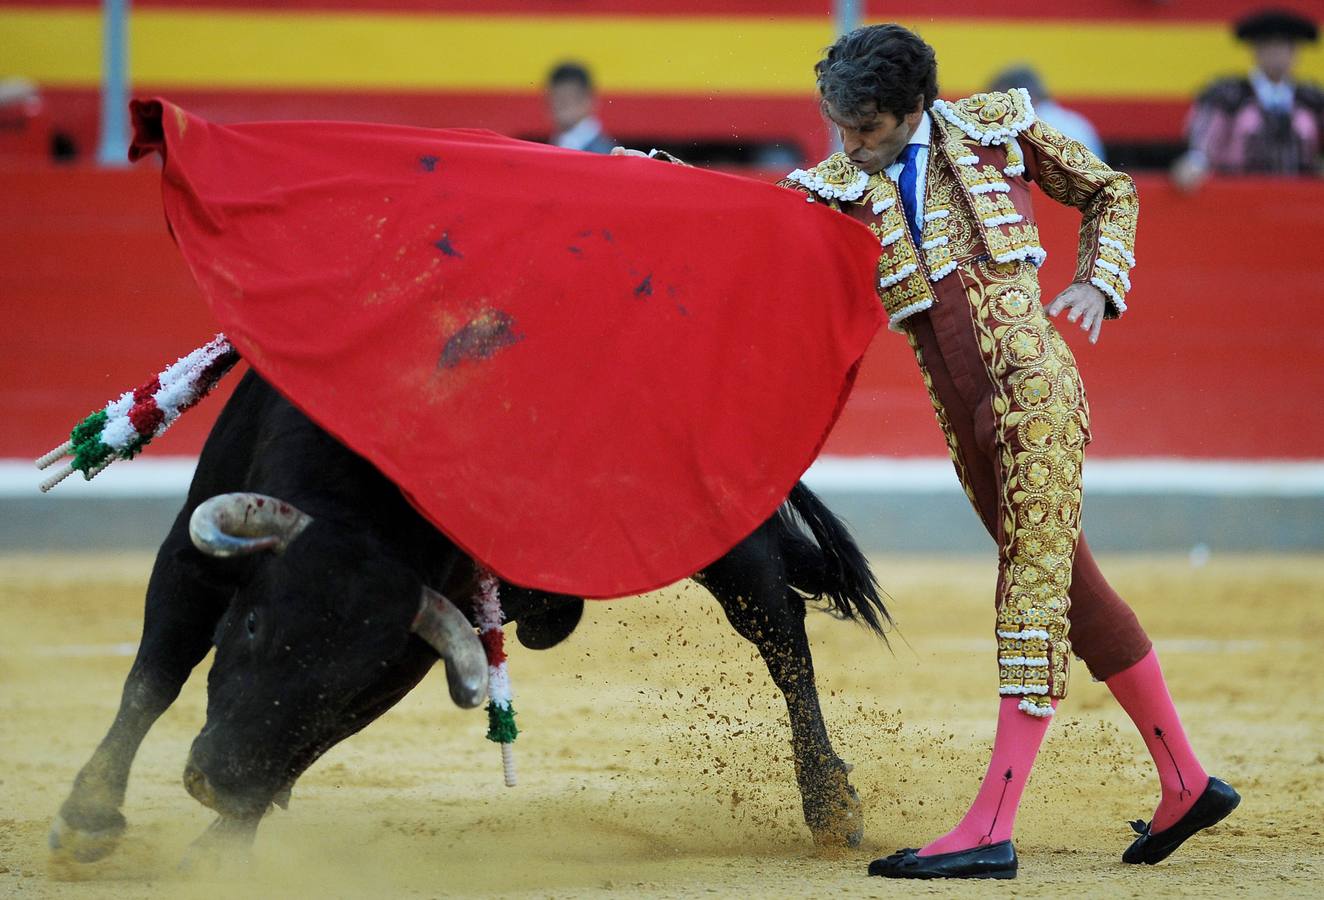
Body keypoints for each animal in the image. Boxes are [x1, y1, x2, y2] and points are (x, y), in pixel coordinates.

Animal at [48, 367, 889, 862]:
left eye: (348, 681)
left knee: (780, 632)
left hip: (722, 525)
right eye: (253, 626)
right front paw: (88, 818)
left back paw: (830, 803)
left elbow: (306, 739)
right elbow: (154, 676)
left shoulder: (407, 652)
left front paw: (220, 847)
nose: (218, 780)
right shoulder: (192, 550)